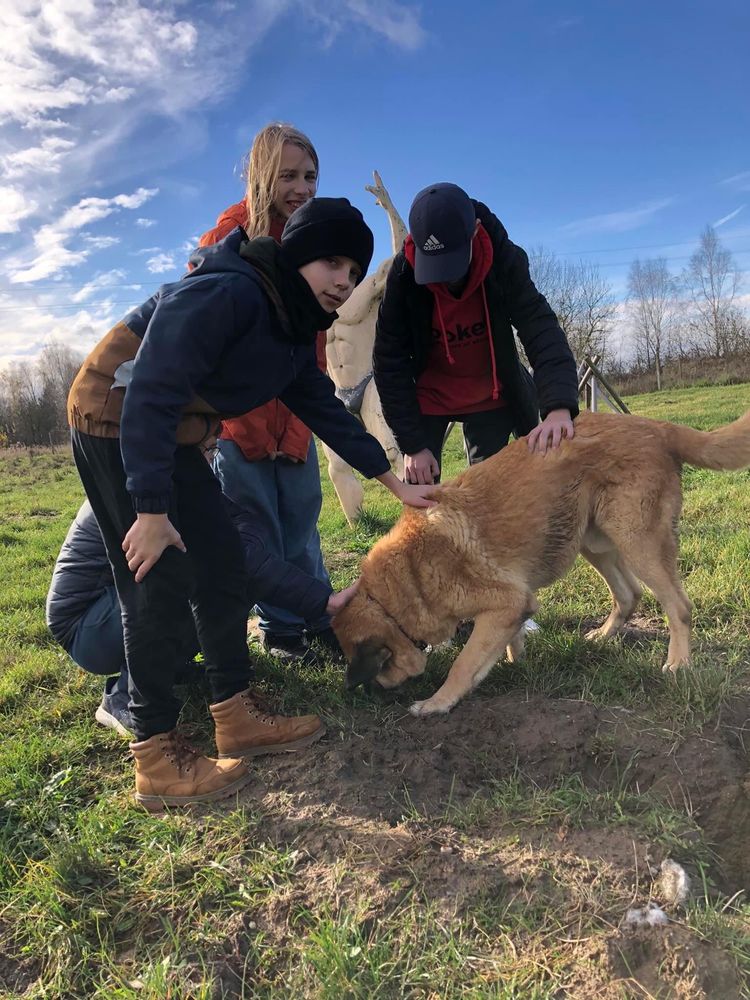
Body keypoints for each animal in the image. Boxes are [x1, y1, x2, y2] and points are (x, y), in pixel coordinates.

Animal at [334, 410, 750, 716]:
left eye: (378, 669)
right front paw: (514, 662)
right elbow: (502, 645)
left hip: (637, 541)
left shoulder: (505, 603)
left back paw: (678, 663)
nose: (370, 697)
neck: (396, 590)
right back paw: (602, 637)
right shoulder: (509, 608)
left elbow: (463, 664)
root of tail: (657, 427)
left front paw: (437, 702)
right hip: (592, 540)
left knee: (678, 606)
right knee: (630, 594)